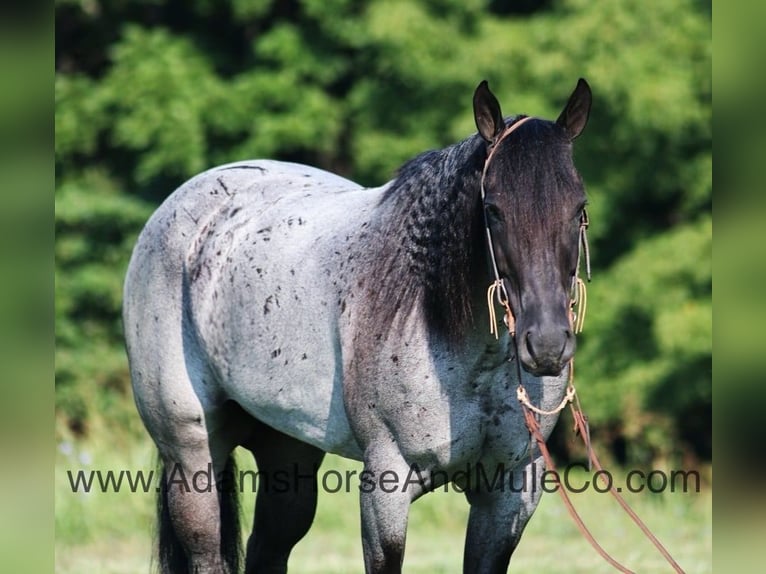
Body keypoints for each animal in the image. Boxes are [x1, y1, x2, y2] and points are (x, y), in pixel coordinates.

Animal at [124, 77, 592, 574]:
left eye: (578, 207)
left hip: (287, 453)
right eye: (494, 209)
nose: (547, 344)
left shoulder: (509, 491)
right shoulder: (386, 486)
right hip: (192, 457)